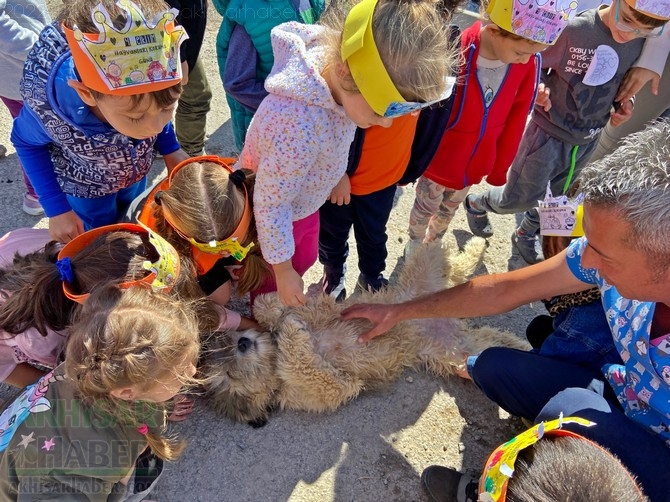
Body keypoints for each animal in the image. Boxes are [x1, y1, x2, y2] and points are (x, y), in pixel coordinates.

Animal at [200, 241, 532, 426]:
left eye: (232, 342)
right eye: (229, 375)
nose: (244, 342)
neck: (272, 361)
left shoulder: (323, 310)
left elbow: (271, 308)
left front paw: (282, 317)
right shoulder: (336, 387)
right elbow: (305, 364)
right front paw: (292, 332)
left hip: (426, 268)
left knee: (450, 255)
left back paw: (477, 241)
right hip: (457, 352)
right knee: (489, 337)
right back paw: (524, 345)